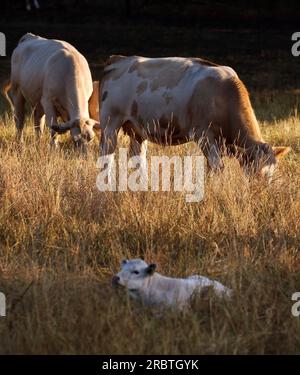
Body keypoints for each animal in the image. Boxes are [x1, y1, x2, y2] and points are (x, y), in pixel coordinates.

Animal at [99, 54, 290, 181]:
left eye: (270, 174)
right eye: (255, 173)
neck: (223, 95)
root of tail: (119, 59)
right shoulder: (204, 136)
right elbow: (217, 167)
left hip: (137, 130)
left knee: (138, 157)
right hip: (110, 124)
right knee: (106, 156)